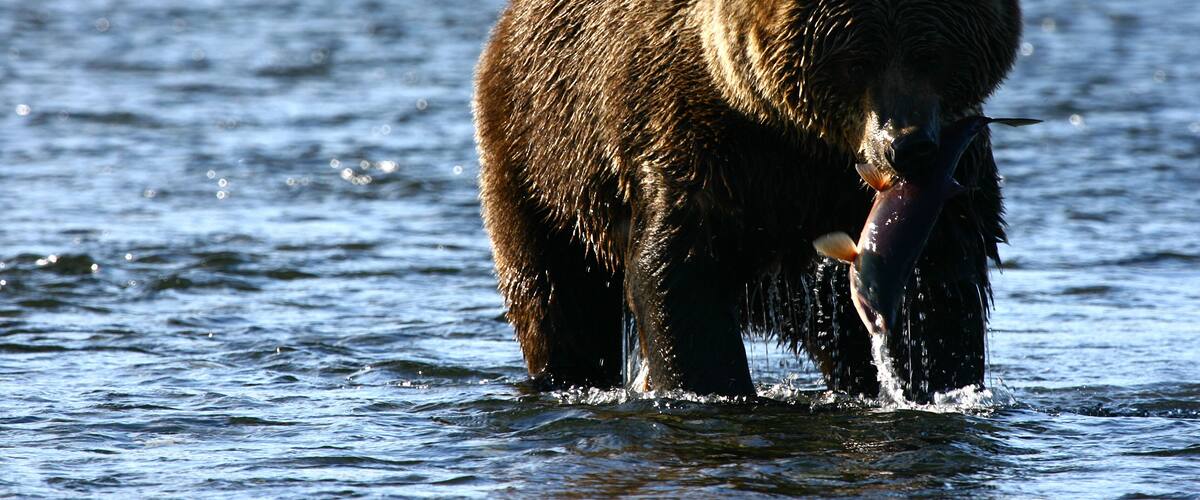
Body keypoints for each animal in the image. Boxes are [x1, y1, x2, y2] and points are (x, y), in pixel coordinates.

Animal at [473, 0, 1022, 401]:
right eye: (855, 62)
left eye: (933, 54)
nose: (907, 146)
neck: (807, 145)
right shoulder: (701, 145)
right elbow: (677, 273)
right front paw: (714, 387)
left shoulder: (948, 179)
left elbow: (940, 292)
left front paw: (931, 381)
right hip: (542, 153)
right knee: (558, 298)